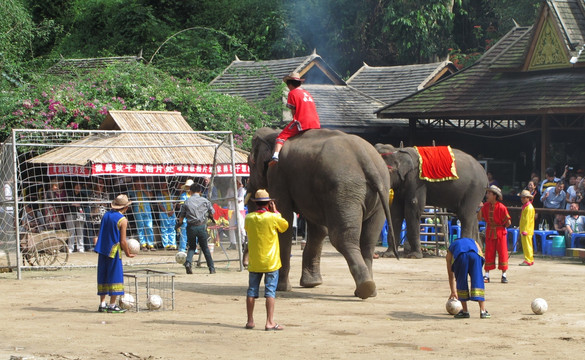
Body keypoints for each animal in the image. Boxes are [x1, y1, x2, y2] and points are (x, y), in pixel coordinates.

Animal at [246, 128, 396, 300]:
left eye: (250, 163)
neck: (274, 134)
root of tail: (367, 160)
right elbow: (318, 229)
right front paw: (312, 284)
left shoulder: (278, 175)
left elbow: (285, 221)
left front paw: (281, 288)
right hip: (378, 193)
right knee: (368, 240)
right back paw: (368, 290)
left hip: (344, 191)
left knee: (342, 238)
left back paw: (365, 288)